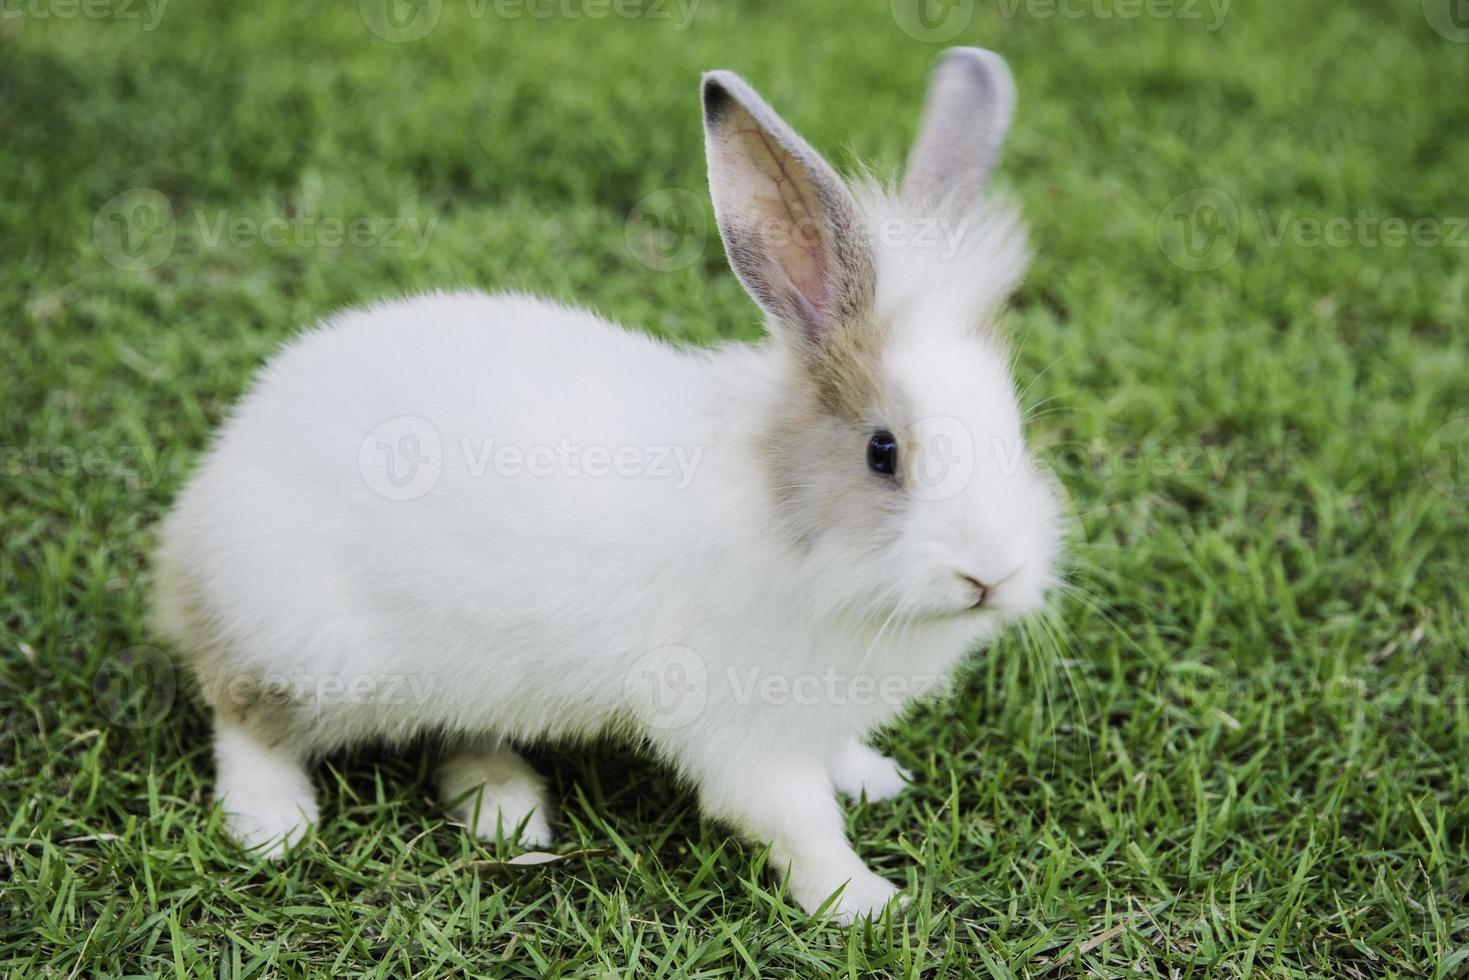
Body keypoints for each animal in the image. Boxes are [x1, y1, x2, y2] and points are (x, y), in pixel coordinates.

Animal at [154, 45, 1063, 922]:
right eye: (882, 452)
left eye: (1014, 431)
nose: (992, 573)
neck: (787, 514)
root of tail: (189, 538)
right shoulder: (743, 729)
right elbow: (797, 821)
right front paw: (866, 902)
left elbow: (832, 761)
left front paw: (875, 778)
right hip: (313, 656)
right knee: (242, 717)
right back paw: (273, 824)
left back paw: (508, 810)